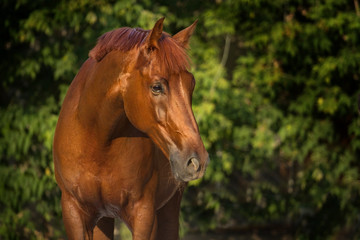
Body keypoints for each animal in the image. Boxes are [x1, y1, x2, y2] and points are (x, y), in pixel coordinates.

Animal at [53, 17, 211, 240]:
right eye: (157, 87)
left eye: (192, 84)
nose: (197, 161)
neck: (98, 140)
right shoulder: (73, 212)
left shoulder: (144, 216)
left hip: (169, 208)